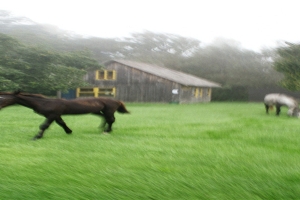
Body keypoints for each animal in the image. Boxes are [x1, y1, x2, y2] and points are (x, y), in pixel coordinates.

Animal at [0, 91, 129, 140]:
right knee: (106, 118)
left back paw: (107, 130)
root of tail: (117, 100)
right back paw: (102, 128)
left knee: (111, 119)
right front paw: (69, 131)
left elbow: (44, 126)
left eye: (3, 98)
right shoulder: (56, 115)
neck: (45, 102)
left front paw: (36, 137)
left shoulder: (52, 115)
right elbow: (62, 123)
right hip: (97, 111)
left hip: (109, 110)